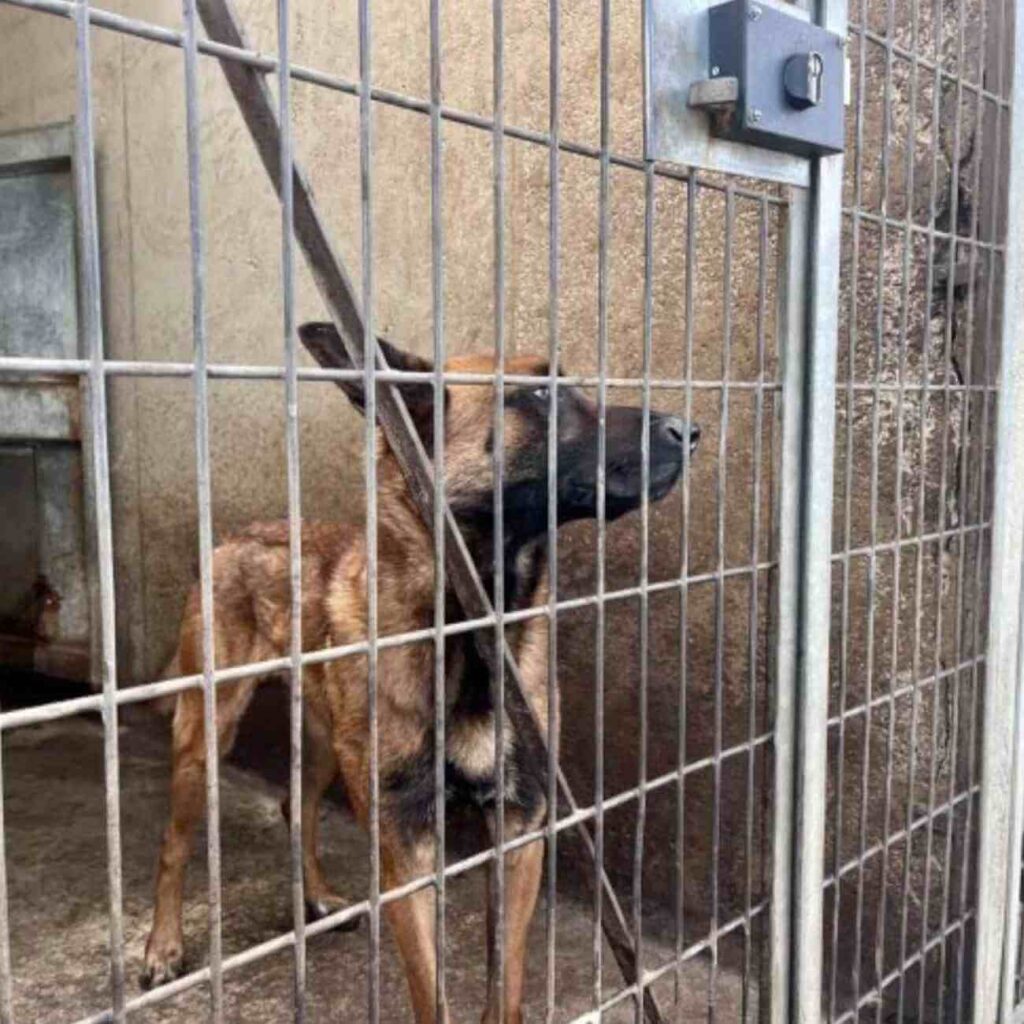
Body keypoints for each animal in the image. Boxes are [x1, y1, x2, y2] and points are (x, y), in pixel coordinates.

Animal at [140, 321, 700, 1024]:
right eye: (540, 396)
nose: (689, 429)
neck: (472, 625)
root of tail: (232, 538)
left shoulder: (520, 824)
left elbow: (505, 981)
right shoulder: (406, 843)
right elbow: (431, 992)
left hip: (326, 742)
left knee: (297, 804)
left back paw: (317, 898)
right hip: (207, 737)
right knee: (174, 842)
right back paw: (162, 947)